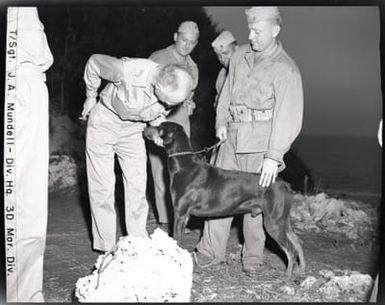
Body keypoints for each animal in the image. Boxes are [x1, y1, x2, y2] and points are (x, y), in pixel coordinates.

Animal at [142, 121, 304, 276]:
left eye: (160, 127)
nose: (144, 128)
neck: (184, 166)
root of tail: (285, 185)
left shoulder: (180, 214)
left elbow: (176, 239)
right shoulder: (184, 216)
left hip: (273, 222)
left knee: (291, 250)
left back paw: (287, 276)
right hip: (282, 220)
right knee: (298, 242)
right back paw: (300, 269)